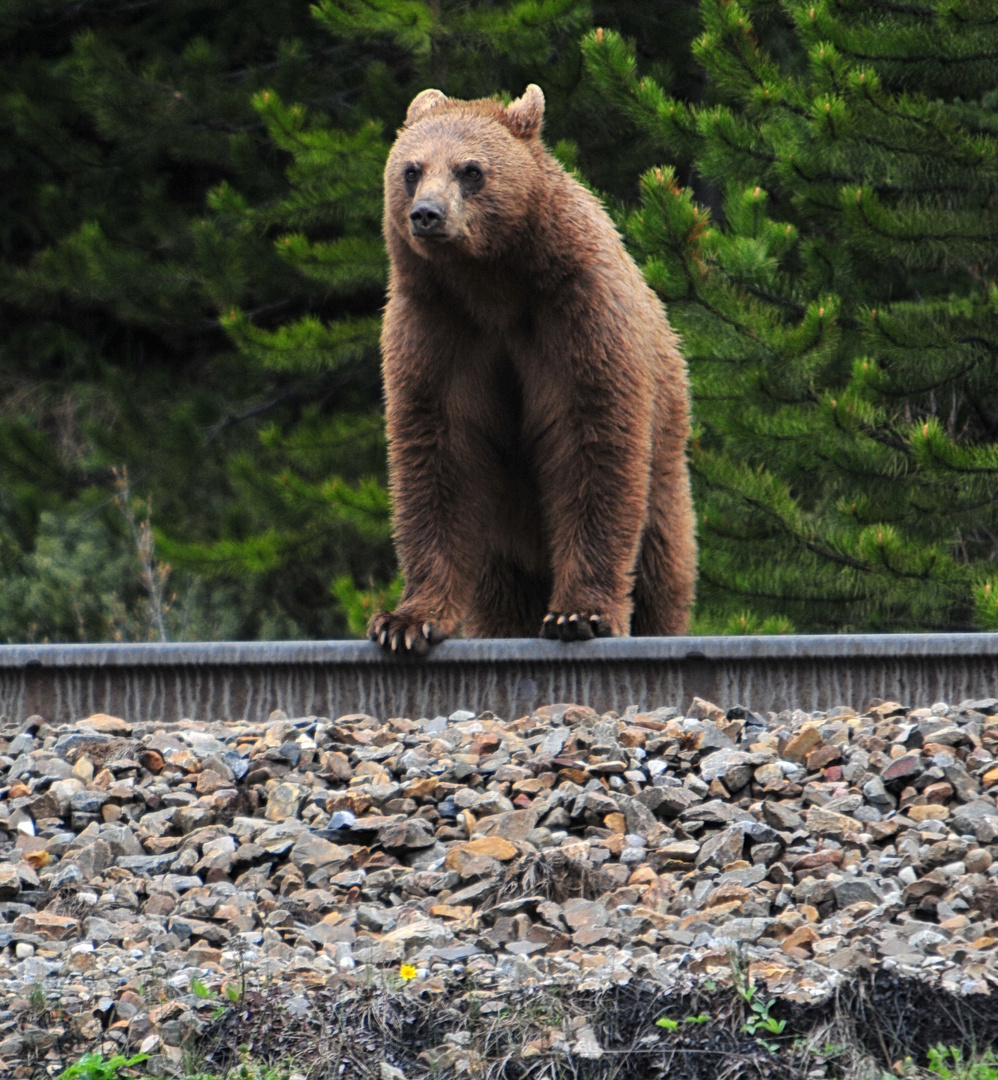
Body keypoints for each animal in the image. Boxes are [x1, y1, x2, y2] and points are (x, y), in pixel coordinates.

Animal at [367, 82, 695, 648]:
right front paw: (406, 621)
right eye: (411, 169)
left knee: (661, 566)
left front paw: (580, 614)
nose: (427, 214)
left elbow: (594, 442)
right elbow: (438, 453)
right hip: (501, 551)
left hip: (666, 476)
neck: (492, 286)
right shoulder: (437, 330)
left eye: (470, 169)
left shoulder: (577, 316)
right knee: (500, 593)